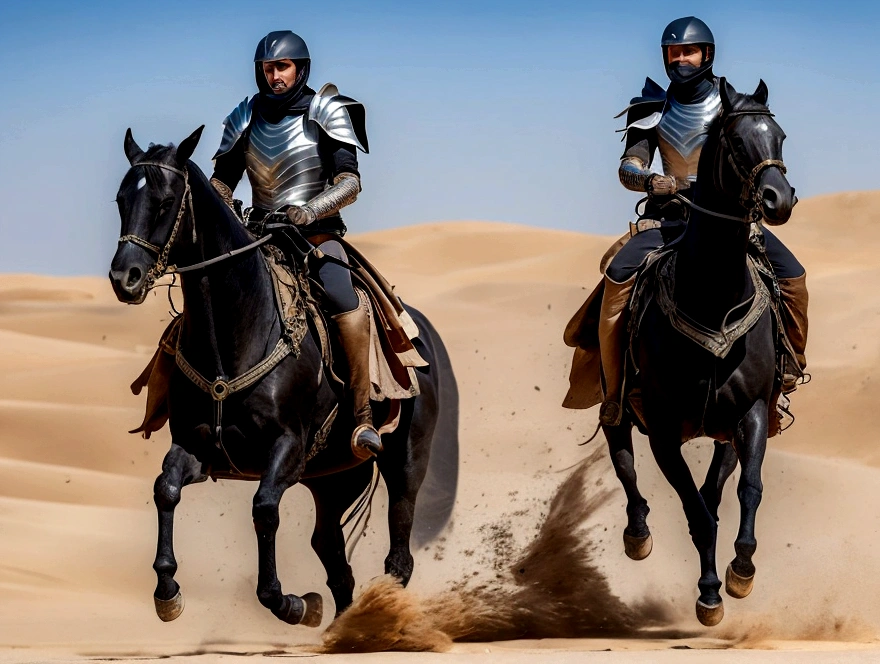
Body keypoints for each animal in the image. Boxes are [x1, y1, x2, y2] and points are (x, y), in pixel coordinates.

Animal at [108, 128, 460, 628]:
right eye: (121, 199)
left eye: (166, 200)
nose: (125, 277)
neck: (233, 338)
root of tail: (421, 333)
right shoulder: (197, 447)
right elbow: (165, 489)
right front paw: (167, 590)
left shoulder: (287, 449)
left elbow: (264, 510)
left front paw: (290, 602)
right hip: (334, 478)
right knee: (334, 558)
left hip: (404, 462)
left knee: (398, 557)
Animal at [604, 80, 796, 624]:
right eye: (735, 142)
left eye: (779, 136)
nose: (779, 198)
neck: (712, 298)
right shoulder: (663, 429)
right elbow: (695, 510)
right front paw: (710, 592)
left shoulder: (750, 413)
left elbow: (745, 490)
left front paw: (741, 570)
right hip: (617, 404)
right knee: (623, 459)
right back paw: (638, 533)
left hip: (722, 428)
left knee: (714, 487)